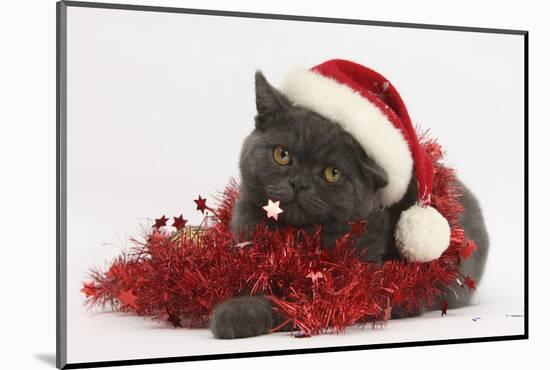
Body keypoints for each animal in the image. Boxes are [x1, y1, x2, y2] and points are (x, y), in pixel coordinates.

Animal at [209, 71, 490, 338]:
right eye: (282, 154)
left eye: (332, 173)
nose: (299, 183)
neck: (293, 240)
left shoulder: (351, 288)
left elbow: (294, 304)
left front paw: (236, 313)